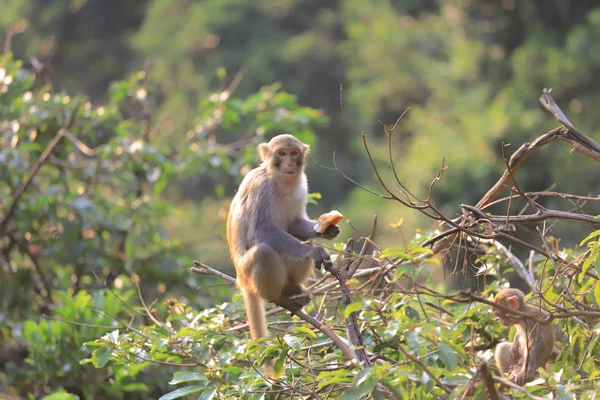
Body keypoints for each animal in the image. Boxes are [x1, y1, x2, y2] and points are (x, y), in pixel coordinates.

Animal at [225, 134, 340, 344]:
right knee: (263, 252)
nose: (289, 163)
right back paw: (280, 296)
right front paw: (314, 251)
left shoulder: (302, 186)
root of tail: (241, 282)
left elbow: (295, 224)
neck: (279, 181)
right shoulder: (261, 188)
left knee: (302, 239)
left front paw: (327, 230)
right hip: (247, 274)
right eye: (281, 153)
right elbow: (262, 230)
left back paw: (291, 290)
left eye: (294, 153)